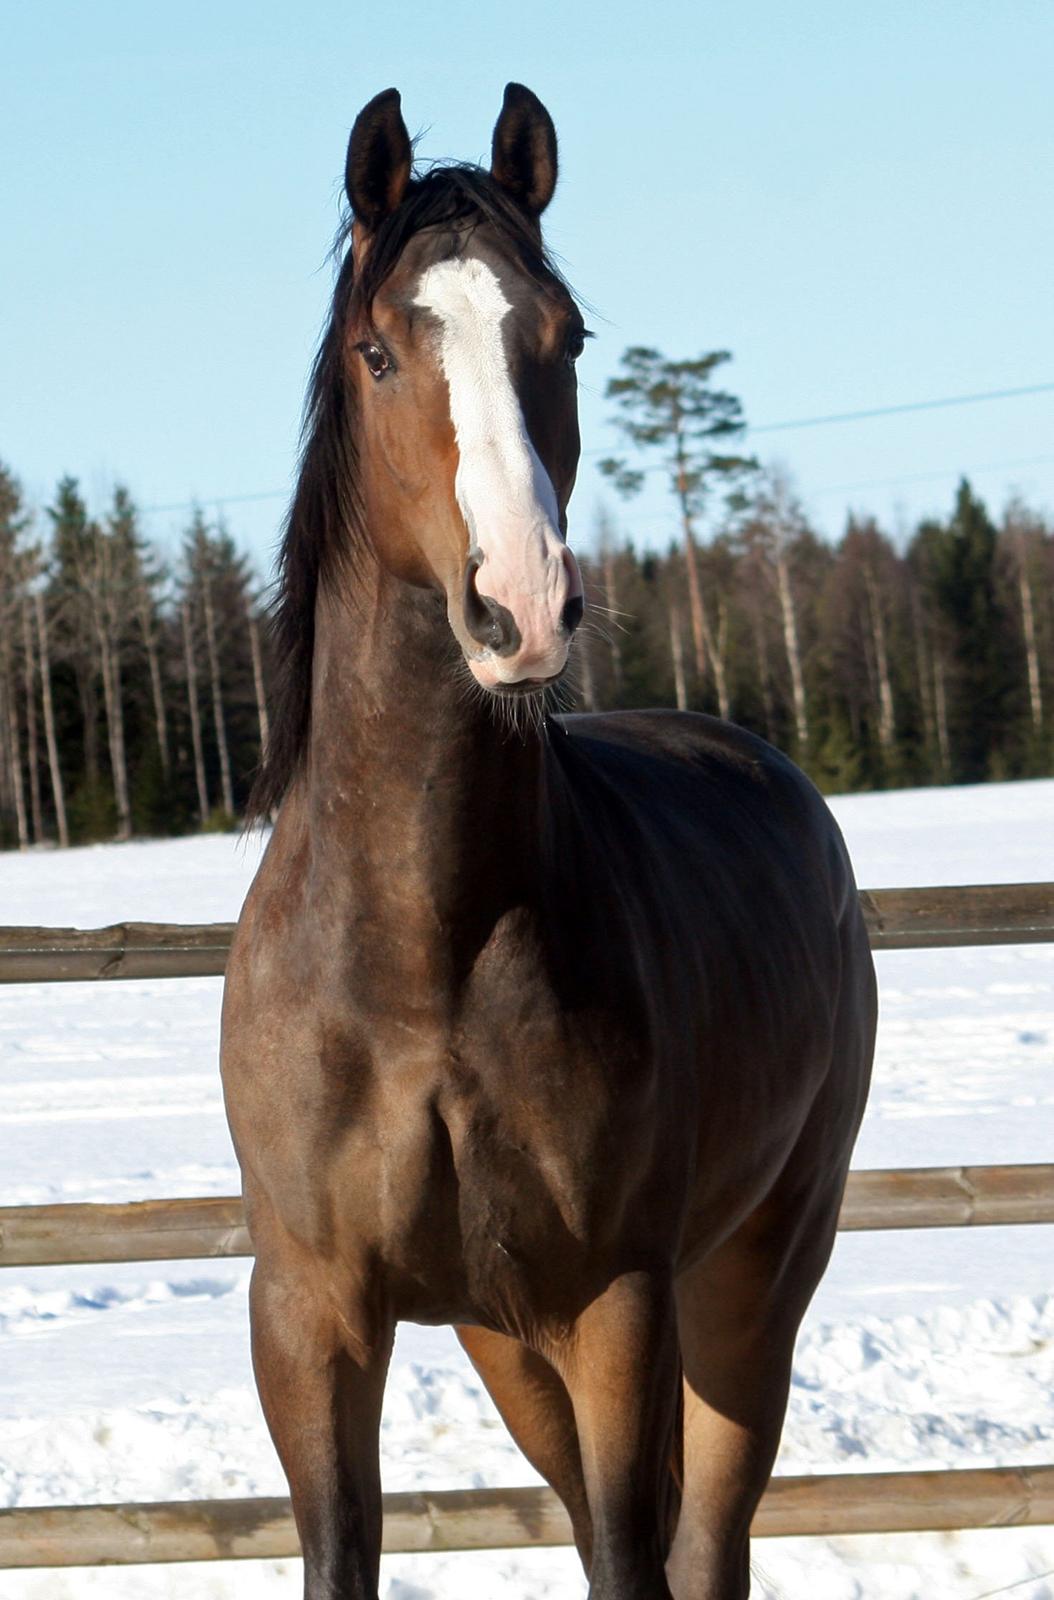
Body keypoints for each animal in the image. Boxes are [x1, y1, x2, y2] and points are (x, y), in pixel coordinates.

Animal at [220, 84, 876, 1600]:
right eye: (378, 351)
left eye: (562, 336)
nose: (518, 604)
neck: (421, 958)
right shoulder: (311, 1317)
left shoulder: (614, 1305)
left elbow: (637, 1556)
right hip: (500, 1335)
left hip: (750, 1281)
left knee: (703, 1542)